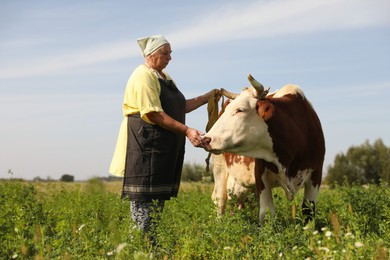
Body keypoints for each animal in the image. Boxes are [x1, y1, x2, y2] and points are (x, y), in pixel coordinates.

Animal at [204, 75, 326, 225]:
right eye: (227, 110)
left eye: (240, 110)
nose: (206, 139)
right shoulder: (260, 175)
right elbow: (266, 213)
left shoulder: (316, 173)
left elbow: (308, 212)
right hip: (219, 168)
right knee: (220, 200)